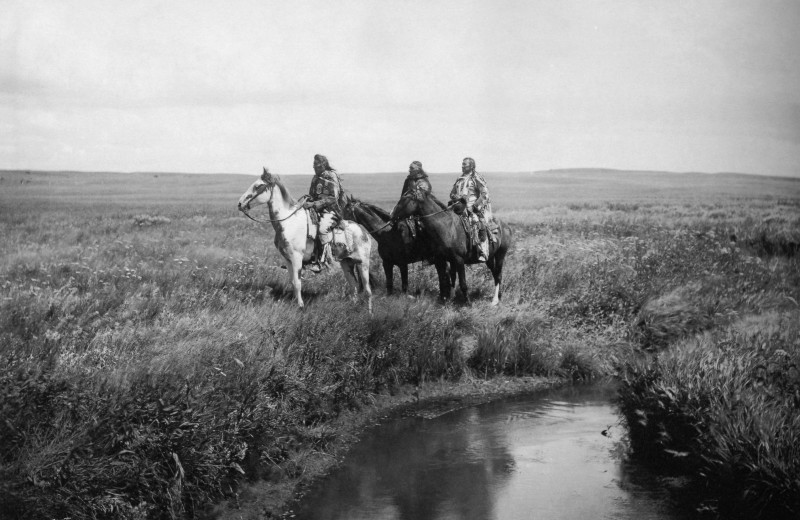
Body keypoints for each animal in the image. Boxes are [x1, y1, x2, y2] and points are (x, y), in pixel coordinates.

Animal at [239, 169, 374, 312]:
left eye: (258, 186)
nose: (240, 204)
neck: (288, 223)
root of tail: (364, 231)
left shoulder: (297, 257)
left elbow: (298, 283)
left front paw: (300, 306)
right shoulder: (287, 259)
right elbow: (293, 282)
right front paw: (295, 303)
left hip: (363, 263)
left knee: (367, 290)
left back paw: (369, 313)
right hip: (346, 263)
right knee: (354, 285)